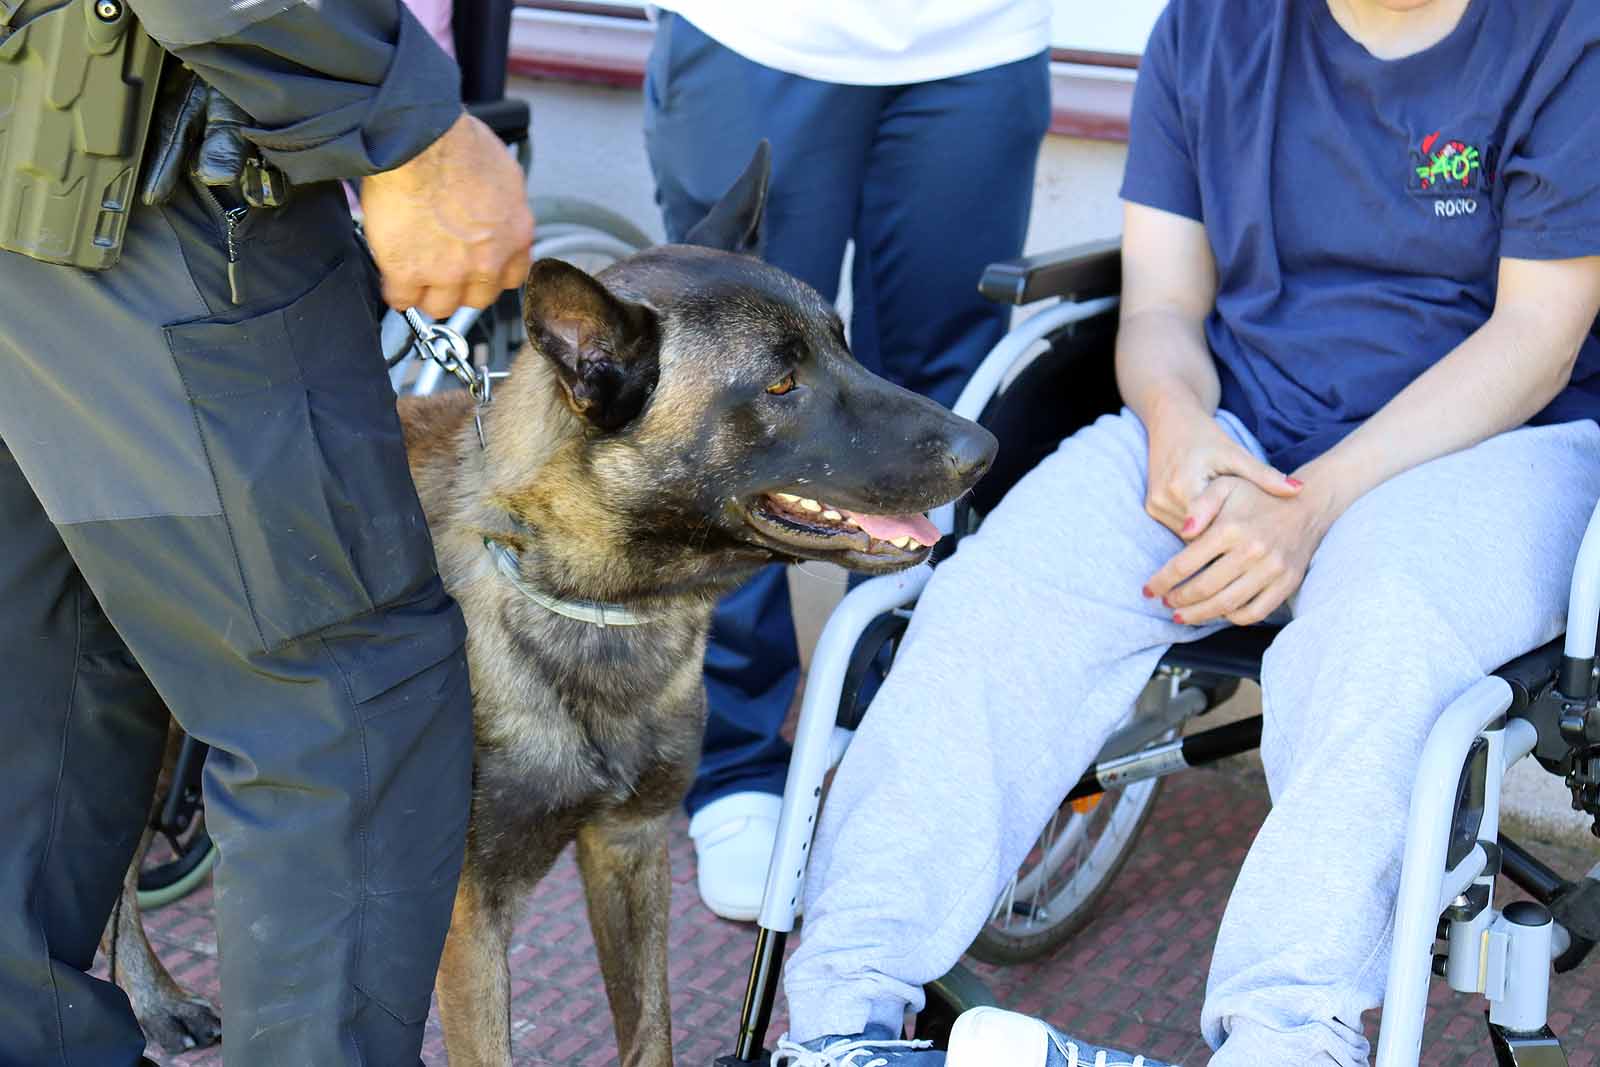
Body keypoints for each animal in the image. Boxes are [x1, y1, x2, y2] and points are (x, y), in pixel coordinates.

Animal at [106, 143, 992, 1067]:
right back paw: (154, 1002)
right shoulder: (469, 911)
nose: (987, 448)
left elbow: (649, 1031)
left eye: (843, 348)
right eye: (783, 383)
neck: (586, 603)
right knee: (113, 882)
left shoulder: (630, 847)